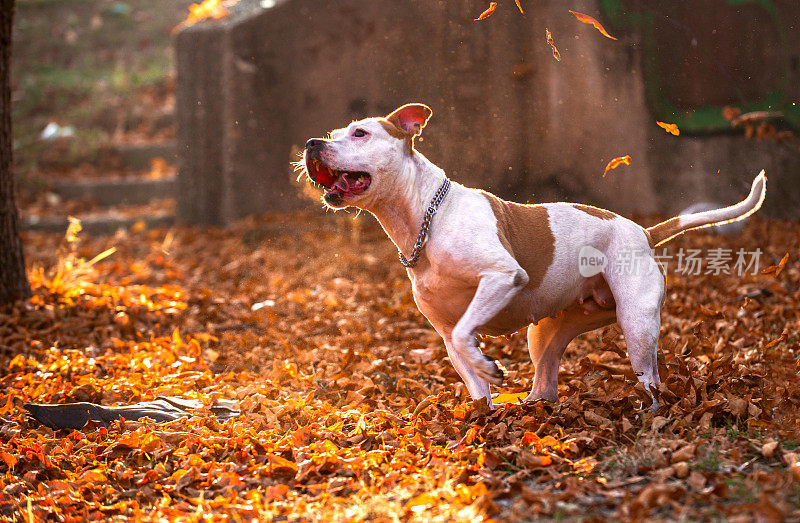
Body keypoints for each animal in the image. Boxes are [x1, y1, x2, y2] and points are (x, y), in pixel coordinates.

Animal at [302, 104, 768, 412]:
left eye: (360, 133)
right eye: (335, 132)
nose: (311, 142)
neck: (424, 220)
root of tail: (642, 232)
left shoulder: (501, 276)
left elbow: (467, 334)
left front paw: (490, 369)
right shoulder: (444, 329)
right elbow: (468, 368)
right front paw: (482, 414)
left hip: (636, 323)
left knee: (652, 379)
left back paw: (649, 413)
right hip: (548, 332)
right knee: (546, 383)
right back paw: (533, 409)